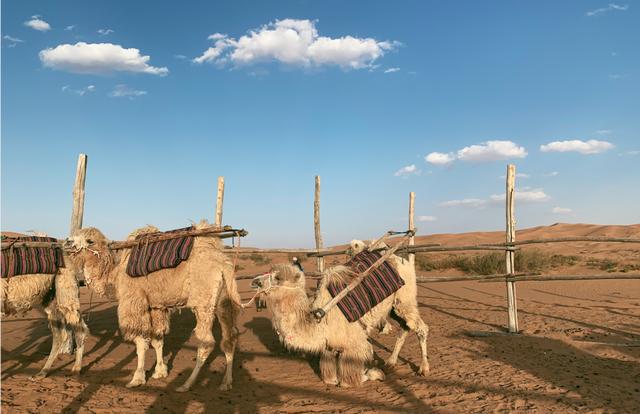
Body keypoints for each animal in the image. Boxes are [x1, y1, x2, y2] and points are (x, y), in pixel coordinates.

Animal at [65, 220, 240, 392]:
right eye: (75, 236)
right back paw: (226, 382)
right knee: (230, 336)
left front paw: (137, 379)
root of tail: (224, 265)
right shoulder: (156, 306)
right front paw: (160, 372)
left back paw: (187, 384)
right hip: (224, 301)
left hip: (203, 301)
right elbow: (158, 339)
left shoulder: (135, 302)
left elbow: (140, 341)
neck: (115, 276)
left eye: (90, 240)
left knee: (206, 342)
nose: (67, 242)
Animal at [250, 239, 430, 388]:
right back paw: (390, 362)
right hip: (393, 307)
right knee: (405, 327)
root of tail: (401, 259)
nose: (255, 282)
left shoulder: (355, 345)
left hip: (405, 299)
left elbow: (348, 381)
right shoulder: (329, 348)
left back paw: (423, 369)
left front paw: (375, 373)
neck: (319, 319)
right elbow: (329, 379)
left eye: (278, 277)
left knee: (421, 328)